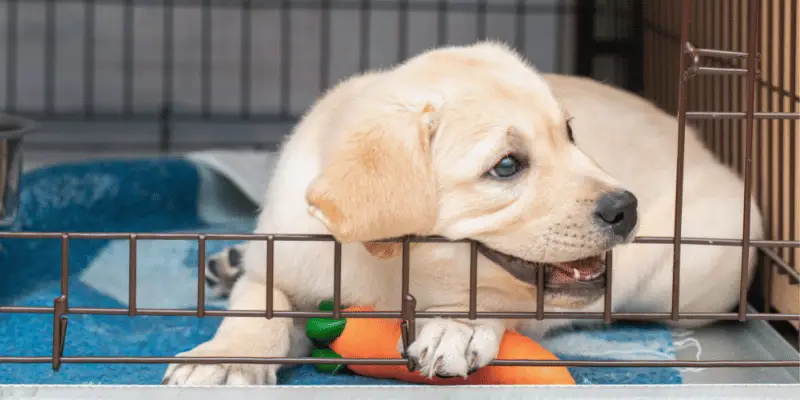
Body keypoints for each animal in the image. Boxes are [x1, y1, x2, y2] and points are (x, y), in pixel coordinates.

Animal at [162, 40, 764, 384]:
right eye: (506, 166)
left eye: (570, 134)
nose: (627, 206)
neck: (389, 274)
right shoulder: (283, 258)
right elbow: (257, 308)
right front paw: (224, 358)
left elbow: (493, 296)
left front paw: (457, 325)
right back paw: (228, 262)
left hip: (689, 280)